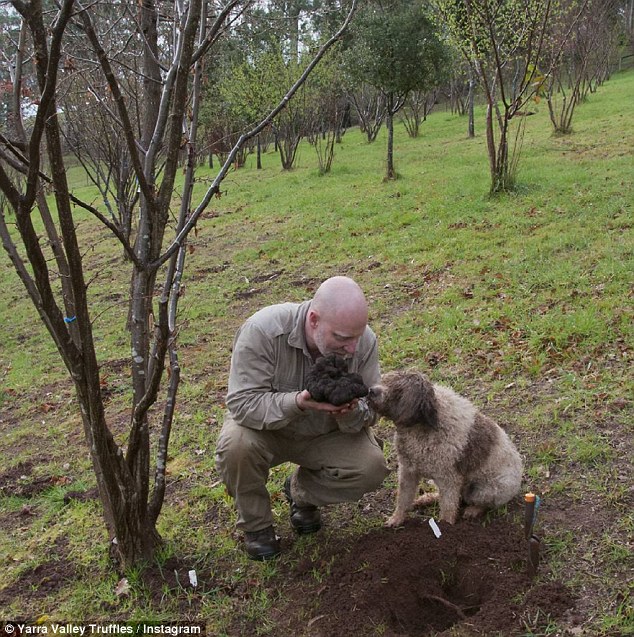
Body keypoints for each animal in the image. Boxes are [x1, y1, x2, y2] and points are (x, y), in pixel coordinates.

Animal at [368, 370, 520, 524]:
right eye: (386, 380)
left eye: (399, 391)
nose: (371, 391)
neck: (424, 426)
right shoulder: (407, 470)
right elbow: (403, 499)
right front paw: (396, 519)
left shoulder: (449, 478)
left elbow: (448, 507)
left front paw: (446, 525)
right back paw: (427, 498)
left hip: (485, 490)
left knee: (481, 502)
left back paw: (473, 510)